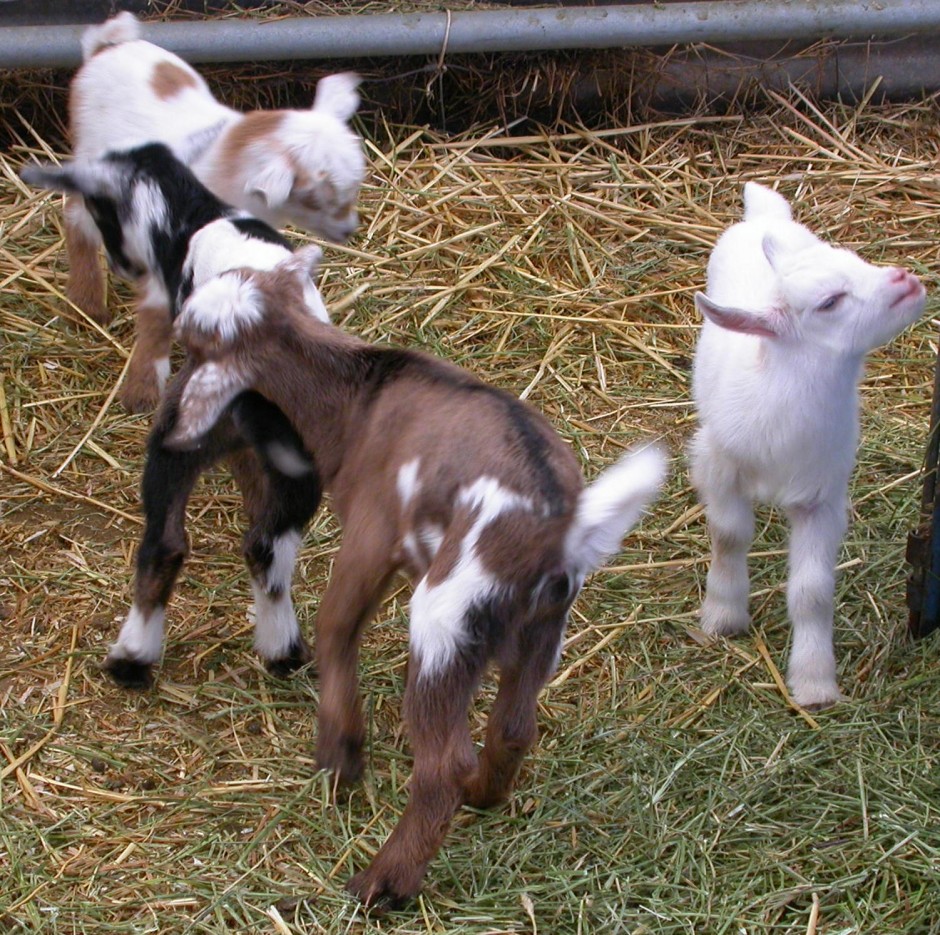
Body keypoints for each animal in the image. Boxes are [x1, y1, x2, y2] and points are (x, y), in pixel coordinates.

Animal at [22, 147, 667, 907]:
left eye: (192, 337)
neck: (362, 390)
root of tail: (557, 530)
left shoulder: (370, 528)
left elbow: (333, 623)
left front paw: (340, 753)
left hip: (446, 620)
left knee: (443, 761)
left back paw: (384, 880)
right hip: (542, 630)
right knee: (514, 726)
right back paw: (486, 794)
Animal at [66, 12, 363, 411]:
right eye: (315, 199)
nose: (349, 230)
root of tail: (106, 46)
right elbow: (157, 315)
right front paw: (142, 393)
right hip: (90, 159)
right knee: (77, 218)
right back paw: (86, 303)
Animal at [690, 182, 926, 709]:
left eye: (859, 262)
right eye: (829, 302)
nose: (906, 278)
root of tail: (763, 217)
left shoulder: (822, 496)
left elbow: (812, 591)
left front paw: (815, 681)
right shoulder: (719, 463)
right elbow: (728, 535)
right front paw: (723, 614)